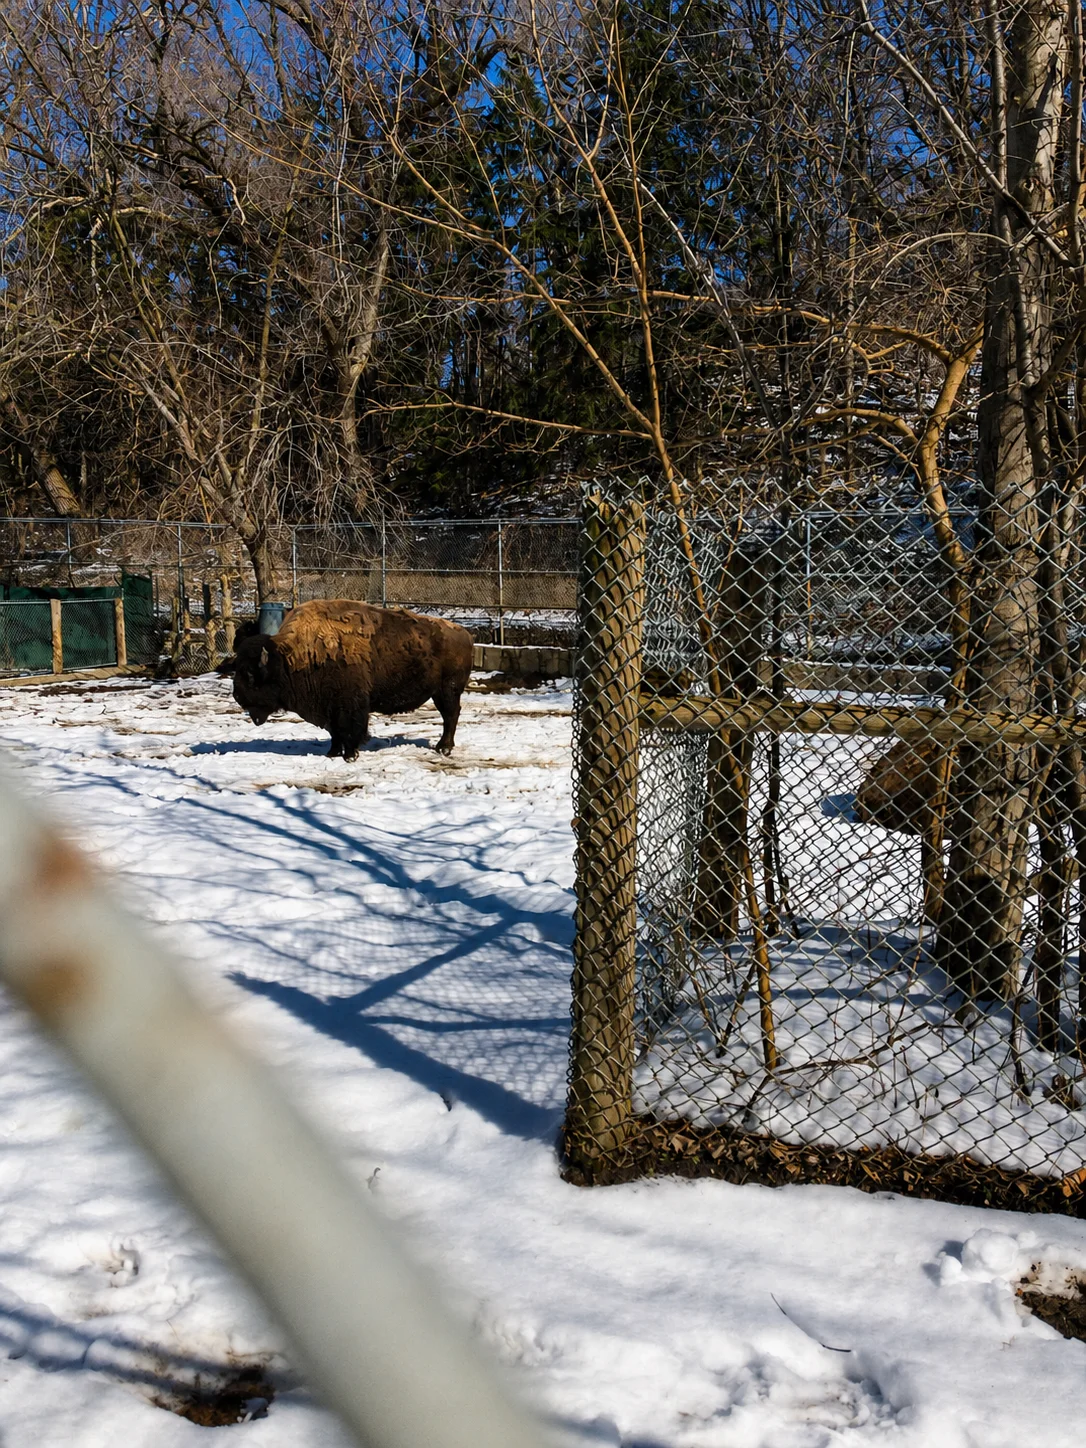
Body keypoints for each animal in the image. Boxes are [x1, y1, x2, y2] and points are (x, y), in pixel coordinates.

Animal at [230, 599, 473, 759]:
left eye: (250, 674)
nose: (237, 696)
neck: (290, 657)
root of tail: (465, 634)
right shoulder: (328, 707)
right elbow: (334, 732)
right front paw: (332, 753)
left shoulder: (349, 705)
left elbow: (349, 729)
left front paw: (350, 755)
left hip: (447, 690)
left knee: (450, 716)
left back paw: (444, 748)